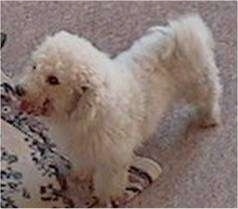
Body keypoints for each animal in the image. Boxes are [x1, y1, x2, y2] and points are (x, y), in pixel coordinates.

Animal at [14, 14, 221, 206]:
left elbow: (108, 183)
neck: (86, 112)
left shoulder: (112, 159)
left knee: (210, 96)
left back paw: (209, 118)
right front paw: (81, 176)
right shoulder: (82, 148)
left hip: (198, 83)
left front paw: (106, 199)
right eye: (34, 66)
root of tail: (181, 34)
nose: (18, 89)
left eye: (53, 80)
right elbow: (83, 163)